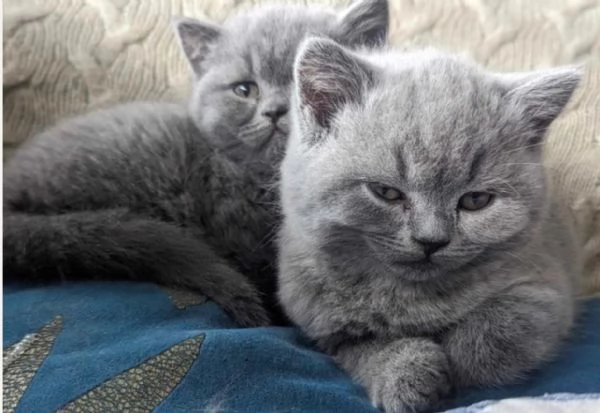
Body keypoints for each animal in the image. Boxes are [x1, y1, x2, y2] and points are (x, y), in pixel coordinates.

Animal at [278, 37, 584, 410]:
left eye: (475, 201)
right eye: (386, 193)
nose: (431, 240)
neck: (409, 297)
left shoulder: (546, 289)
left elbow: (495, 332)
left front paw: (454, 369)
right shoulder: (320, 322)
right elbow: (366, 349)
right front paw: (407, 375)